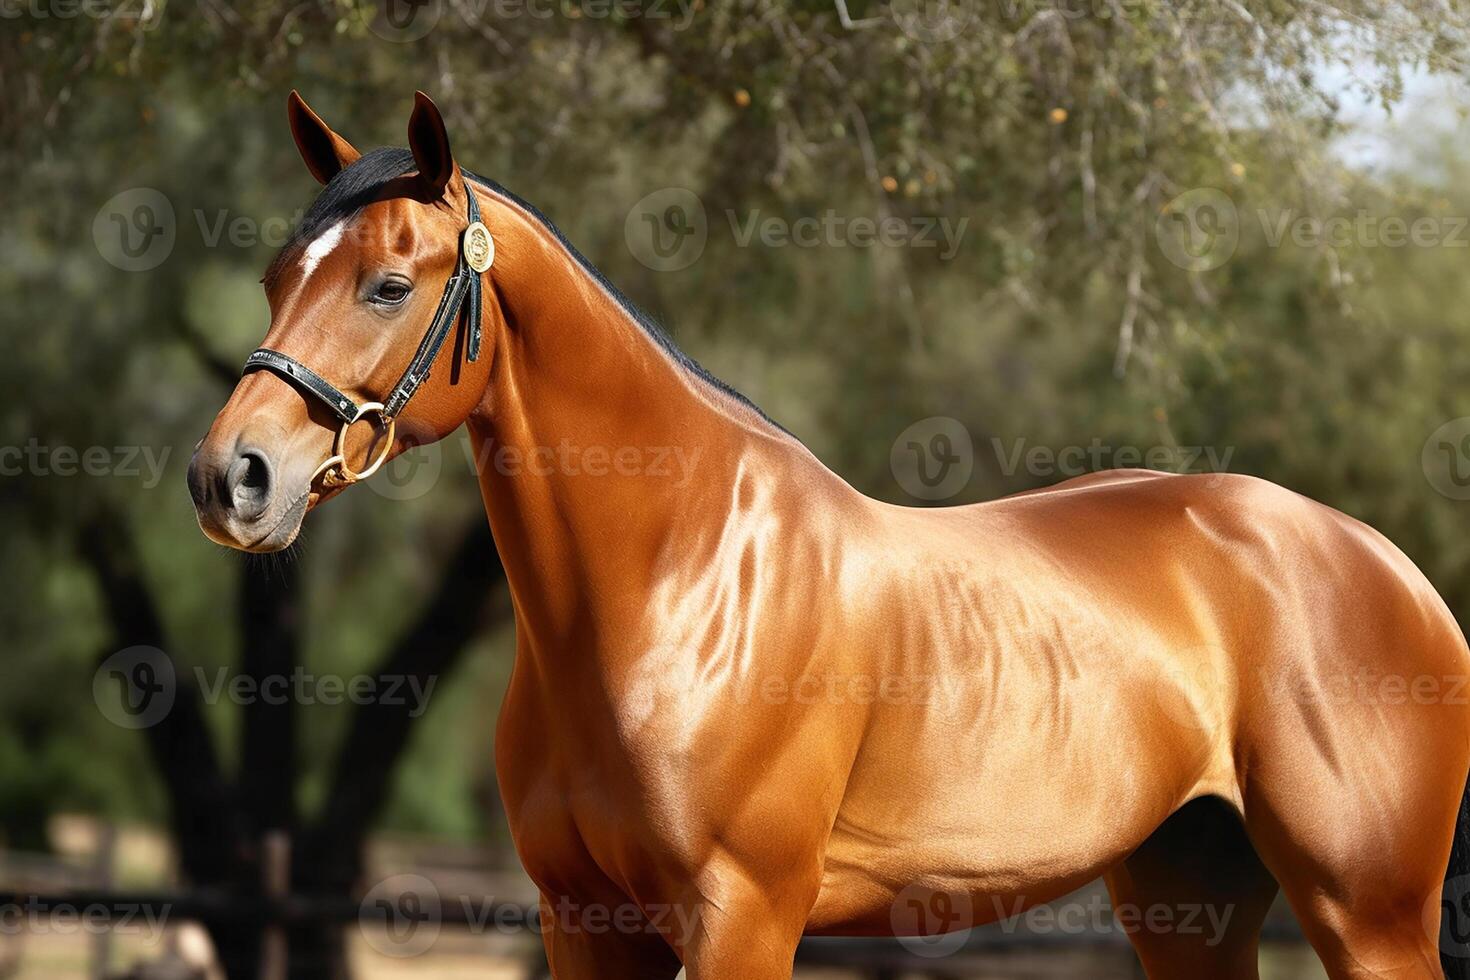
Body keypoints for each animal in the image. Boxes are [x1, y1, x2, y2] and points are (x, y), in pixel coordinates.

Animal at [189, 89, 1470, 975]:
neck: (672, 579)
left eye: (388, 285)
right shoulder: (584, 918)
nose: (230, 476)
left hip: (1368, 909)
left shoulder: (745, 913)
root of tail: (1392, 570)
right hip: (1187, 901)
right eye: (274, 277)